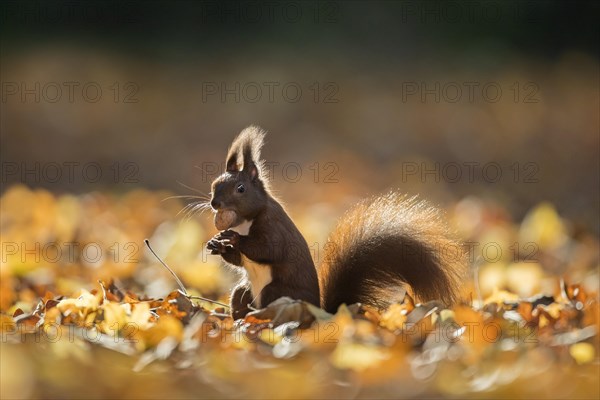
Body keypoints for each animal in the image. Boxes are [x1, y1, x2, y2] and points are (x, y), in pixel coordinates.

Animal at [206, 126, 464, 318]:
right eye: (214, 184)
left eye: (240, 189)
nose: (215, 203)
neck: (245, 221)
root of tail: (319, 313)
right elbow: (239, 260)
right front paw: (217, 244)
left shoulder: (274, 227)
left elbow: (268, 249)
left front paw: (232, 238)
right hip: (244, 292)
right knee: (240, 298)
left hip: (276, 292)